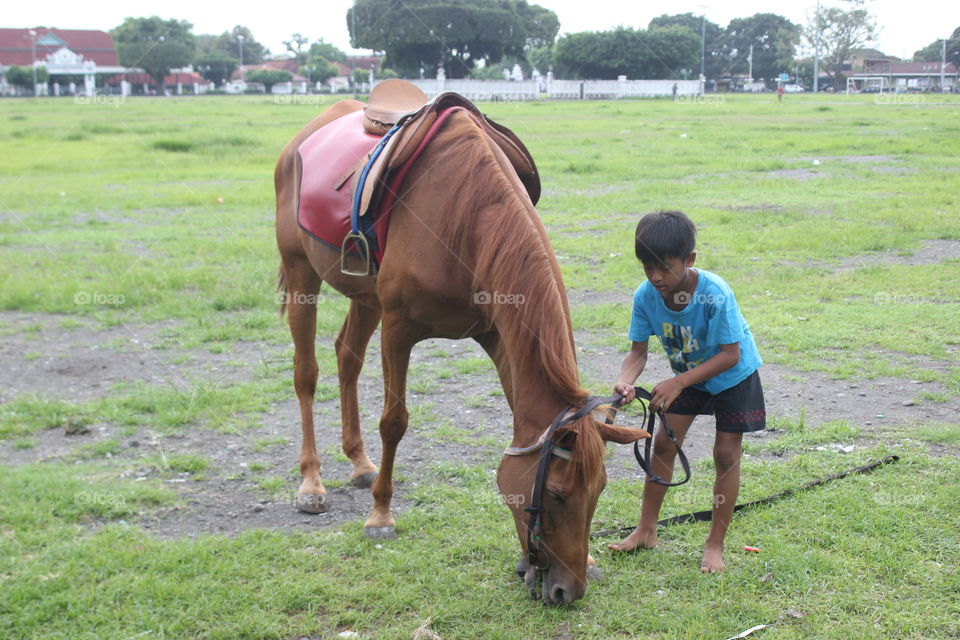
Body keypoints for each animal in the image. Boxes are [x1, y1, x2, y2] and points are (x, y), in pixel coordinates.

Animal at [274, 97, 644, 604]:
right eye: (556, 495)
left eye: (599, 491)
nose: (567, 590)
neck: (465, 215)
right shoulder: (398, 328)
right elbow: (394, 422)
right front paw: (380, 515)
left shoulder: (497, 333)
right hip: (301, 274)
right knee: (306, 373)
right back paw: (311, 482)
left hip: (363, 295)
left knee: (347, 357)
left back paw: (360, 463)